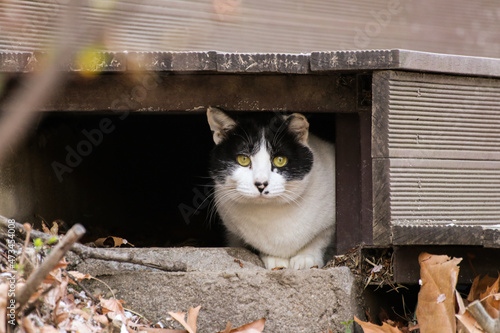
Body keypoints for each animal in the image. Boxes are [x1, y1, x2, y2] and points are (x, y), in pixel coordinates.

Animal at [207, 107, 336, 268]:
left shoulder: (329, 224)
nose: (261, 184)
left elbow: (320, 239)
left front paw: (306, 258)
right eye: (243, 159)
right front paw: (275, 260)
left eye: (280, 160)